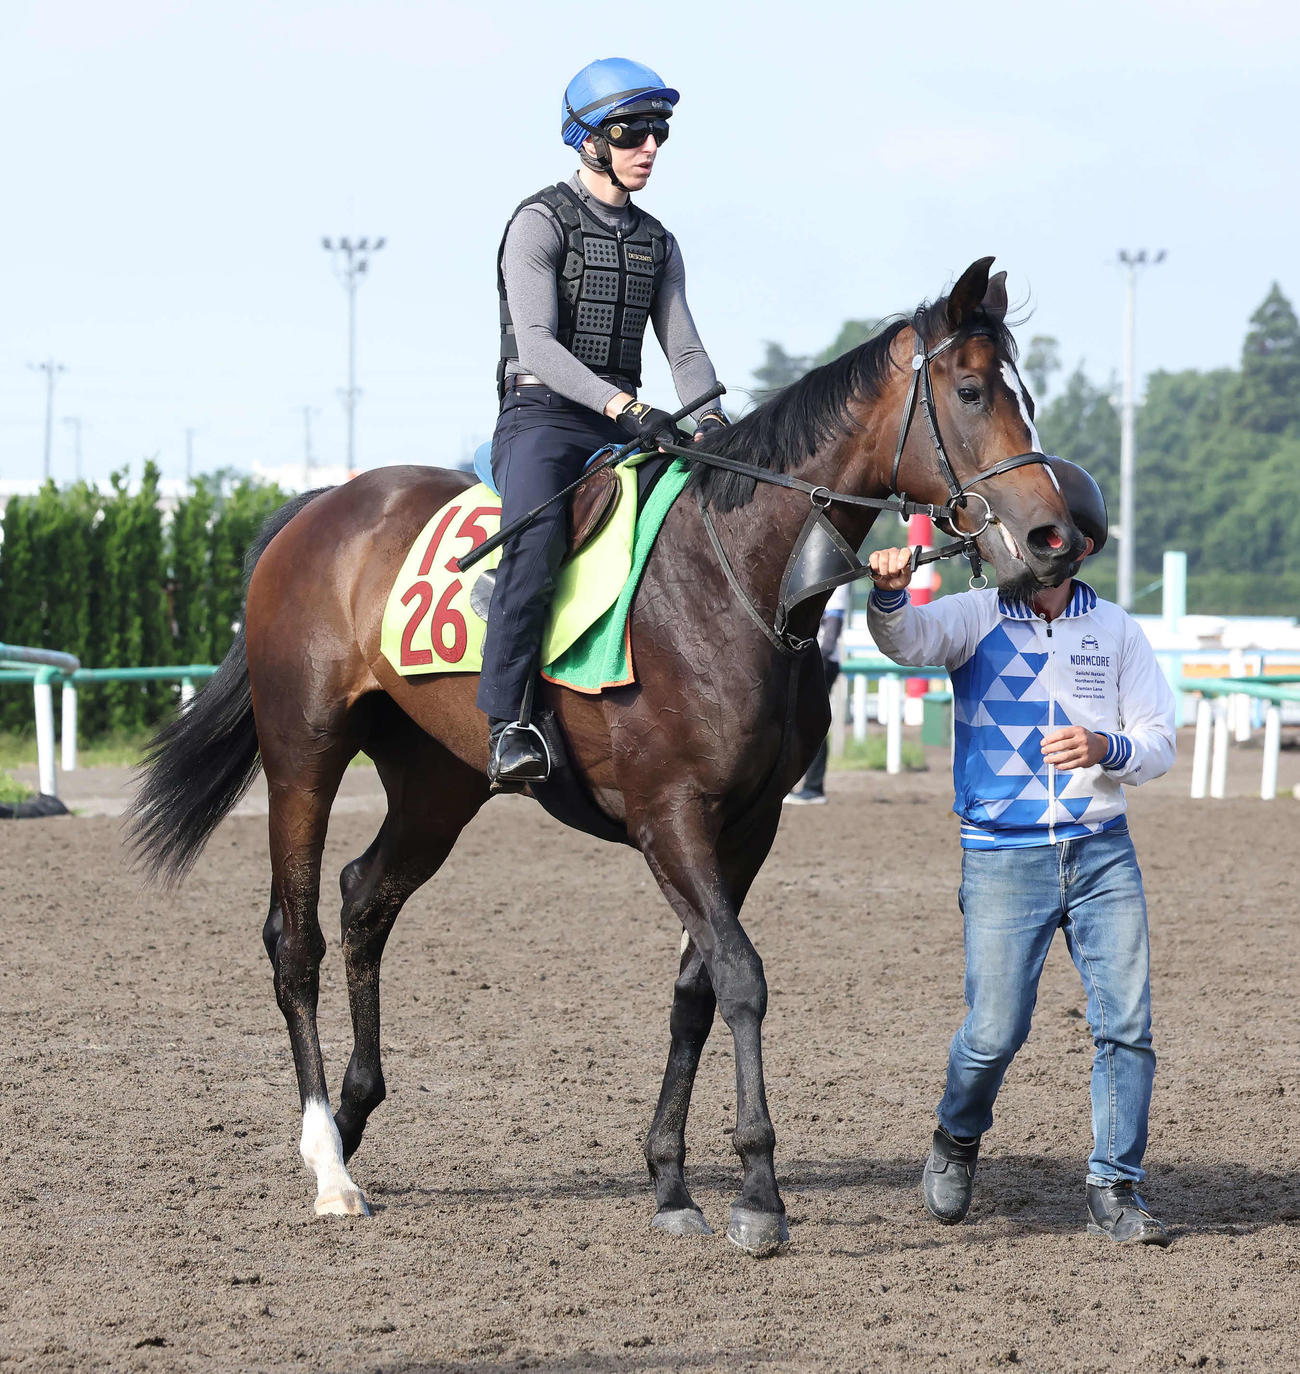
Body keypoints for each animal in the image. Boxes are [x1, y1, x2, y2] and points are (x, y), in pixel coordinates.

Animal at [129, 257, 1083, 1255]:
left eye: (1026, 393)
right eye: (972, 391)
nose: (1055, 537)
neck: (733, 578)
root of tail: (319, 505)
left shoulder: (749, 827)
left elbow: (697, 988)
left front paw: (670, 1181)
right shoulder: (671, 818)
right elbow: (741, 977)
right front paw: (758, 1192)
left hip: (437, 783)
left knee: (365, 900)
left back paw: (350, 1121)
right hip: (304, 754)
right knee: (296, 937)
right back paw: (327, 1162)